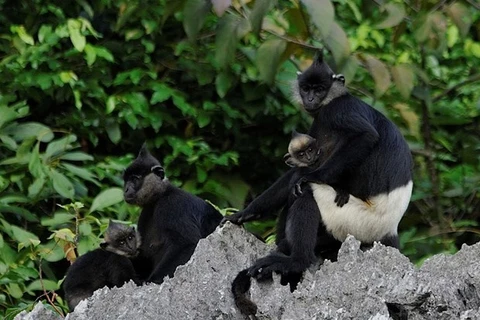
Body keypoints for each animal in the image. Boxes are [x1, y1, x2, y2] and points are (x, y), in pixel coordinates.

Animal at [123, 144, 222, 284]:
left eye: (135, 179)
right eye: (126, 180)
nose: (126, 189)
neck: (160, 196)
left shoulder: (173, 204)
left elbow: (186, 243)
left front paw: (152, 280)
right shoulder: (146, 212)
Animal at [225, 50, 412, 316]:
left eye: (320, 89)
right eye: (306, 88)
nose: (311, 98)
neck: (331, 102)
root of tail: (391, 228)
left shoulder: (339, 111)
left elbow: (365, 136)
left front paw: (311, 177)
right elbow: (294, 173)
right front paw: (244, 214)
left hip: (358, 223)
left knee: (304, 194)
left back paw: (295, 260)